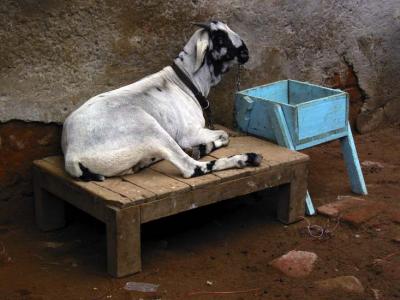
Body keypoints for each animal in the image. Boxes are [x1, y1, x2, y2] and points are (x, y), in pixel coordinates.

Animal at [61, 21, 262, 182]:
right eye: (220, 38)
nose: (246, 52)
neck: (184, 82)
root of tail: (72, 155)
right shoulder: (189, 133)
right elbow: (224, 135)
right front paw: (202, 148)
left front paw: (200, 148)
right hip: (150, 128)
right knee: (191, 168)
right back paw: (247, 158)